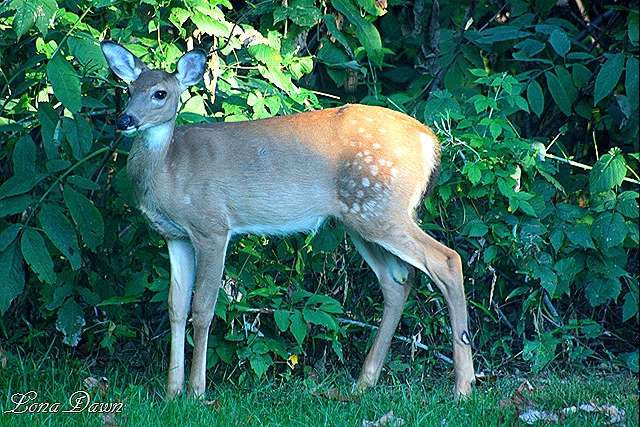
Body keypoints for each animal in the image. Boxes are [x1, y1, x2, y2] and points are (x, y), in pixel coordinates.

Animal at [100, 40, 475, 399]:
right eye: (130, 88)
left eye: (160, 93)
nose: (125, 120)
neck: (170, 169)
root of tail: (429, 141)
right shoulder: (175, 236)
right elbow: (176, 307)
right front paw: (171, 392)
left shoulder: (212, 225)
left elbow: (203, 308)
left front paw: (195, 392)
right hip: (361, 219)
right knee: (397, 280)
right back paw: (363, 384)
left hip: (382, 208)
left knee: (446, 260)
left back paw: (463, 387)